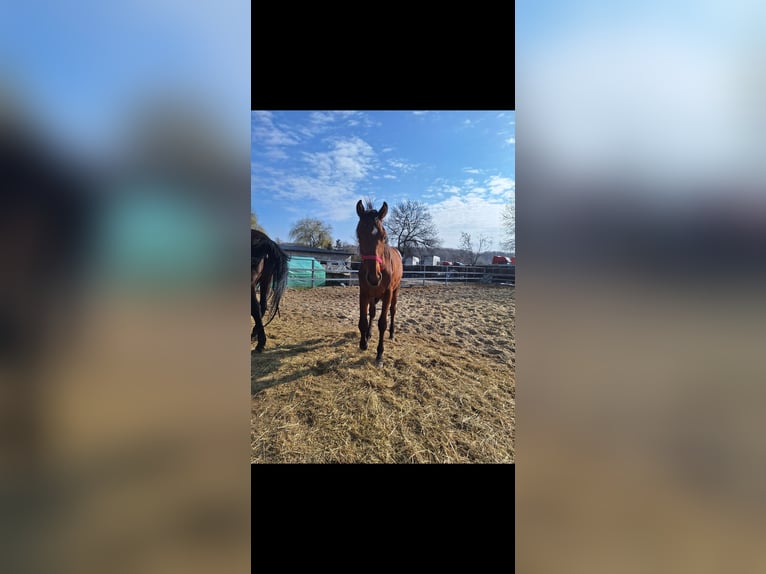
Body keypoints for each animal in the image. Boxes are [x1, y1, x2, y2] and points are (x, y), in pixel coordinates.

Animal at [355, 199, 403, 366]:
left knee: (393, 311)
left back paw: (392, 334)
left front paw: (380, 354)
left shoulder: (387, 293)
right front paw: (363, 343)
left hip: (395, 291)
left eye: (384, 236)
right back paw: (369, 335)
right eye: (359, 235)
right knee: (372, 313)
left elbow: (382, 323)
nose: (374, 278)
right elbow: (363, 320)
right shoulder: (364, 292)